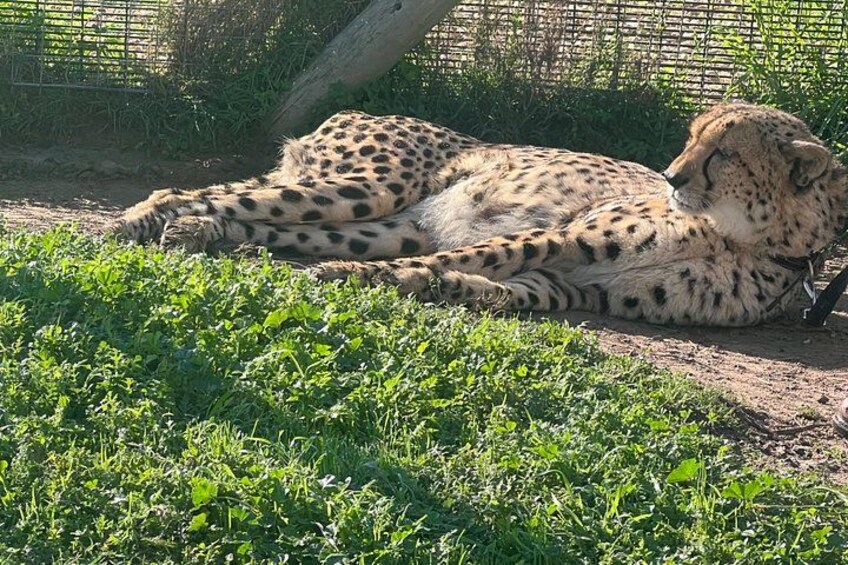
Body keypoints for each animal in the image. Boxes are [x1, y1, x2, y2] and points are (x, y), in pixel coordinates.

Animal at [116, 103, 846, 327]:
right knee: (199, 194)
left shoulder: (579, 285)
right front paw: (366, 281)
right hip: (367, 186)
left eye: (725, 153)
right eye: (693, 138)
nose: (671, 177)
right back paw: (142, 221)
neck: (745, 238)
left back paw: (213, 238)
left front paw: (424, 284)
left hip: (383, 221)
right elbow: (472, 256)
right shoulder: (562, 237)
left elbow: (492, 289)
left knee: (264, 222)